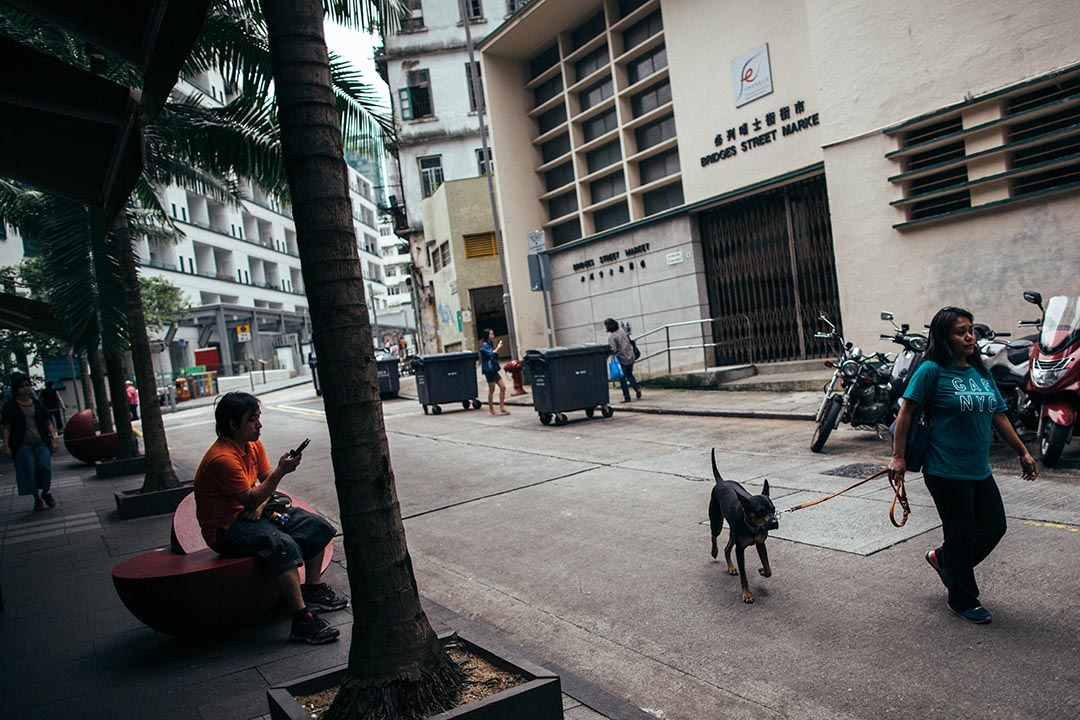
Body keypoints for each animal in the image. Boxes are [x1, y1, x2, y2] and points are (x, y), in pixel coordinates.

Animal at [708, 451, 777, 604]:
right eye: (760, 512)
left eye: (773, 508)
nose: (775, 522)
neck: (752, 525)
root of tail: (721, 482)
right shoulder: (740, 550)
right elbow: (744, 575)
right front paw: (746, 594)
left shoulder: (760, 543)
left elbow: (768, 569)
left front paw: (762, 570)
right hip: (717, 522)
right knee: (714, 535)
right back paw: (714, 551)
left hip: (733, 534)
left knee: (727, 549)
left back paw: (731, 567)